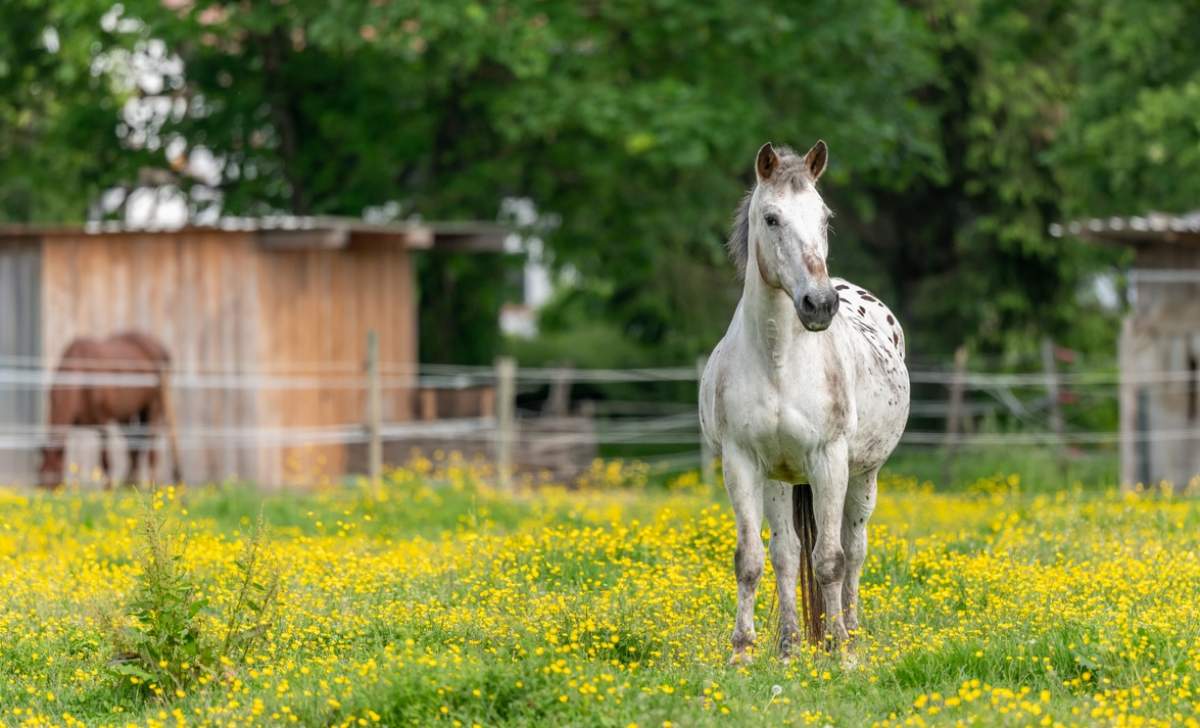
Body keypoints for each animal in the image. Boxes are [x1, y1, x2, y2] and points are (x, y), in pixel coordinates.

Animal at [38, 331, 180, 489]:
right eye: (39, 473)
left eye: (56, 473)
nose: (47, 491)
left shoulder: (103, 422)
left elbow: (105, 459)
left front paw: (108, 488)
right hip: (126, 414)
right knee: (133, 447)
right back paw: (130, 484)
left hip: (153, 406)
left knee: (151, 447)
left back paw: (149, 484)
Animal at [700, 139, 902, 662]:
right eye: (772, 218)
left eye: (825, 217)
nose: (820, 304)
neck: (779, 360)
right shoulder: (742, 462)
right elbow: (752, 559)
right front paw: (743, 651)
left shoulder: (829, 460)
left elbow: (829, 560)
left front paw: (842, 652)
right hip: (779, 479)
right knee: (786, 554)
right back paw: (791, 644)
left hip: (863, 476)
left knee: (854, 548)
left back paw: (850, 629)